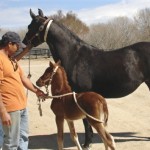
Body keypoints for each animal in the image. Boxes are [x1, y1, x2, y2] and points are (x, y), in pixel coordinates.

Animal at [22, 9, 150, 149]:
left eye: (30, 26)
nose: (24, 42)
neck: (75, 56)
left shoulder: (80, 94)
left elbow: (85, 122)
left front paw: (87, 143)